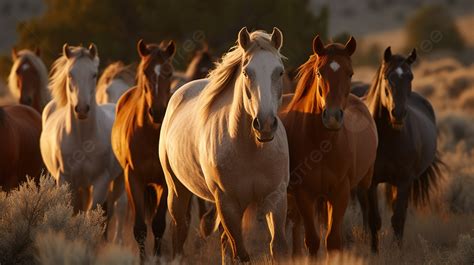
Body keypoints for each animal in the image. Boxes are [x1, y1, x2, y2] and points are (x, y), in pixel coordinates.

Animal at [40, 43, 122, 223]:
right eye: (70, 74)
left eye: (94, 74)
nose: (82, 109)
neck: (83, 140)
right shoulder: (66, 180)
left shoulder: (101, 182)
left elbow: (90, 216)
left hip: (118, 181)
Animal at [111, 39, 176, 260]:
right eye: (145, 72)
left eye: (169, 72)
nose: (157, 111)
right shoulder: (134, 178)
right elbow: (139, 228)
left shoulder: (164, 181)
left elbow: (158, 224)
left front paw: (157, 257)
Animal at [160, 27, 288, 262]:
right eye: (247, 72)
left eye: (280, 72)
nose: (265, 124)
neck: (251, 150)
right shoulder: (228, 203)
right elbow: (240, 254)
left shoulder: (276, 198)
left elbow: (278, 247)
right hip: (177, 192)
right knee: (179, 232)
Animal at [282, 35, 378, 256]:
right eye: (319, 72)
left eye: (350, 73)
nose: (333, 116)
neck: (321, 145)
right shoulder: (304, 194)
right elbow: (312, 240)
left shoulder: (340, 193)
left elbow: (333, 241)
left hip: (365, 183)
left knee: (368, 211)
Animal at [350, 47, 442, 252]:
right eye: (387, 77)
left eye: (410, 76)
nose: (398, 113)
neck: (387, 138)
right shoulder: (372, 182)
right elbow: (374, 219)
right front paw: (374, 251)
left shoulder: (404, 180)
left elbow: (398, 218)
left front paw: (397, 251)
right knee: (365, 209)